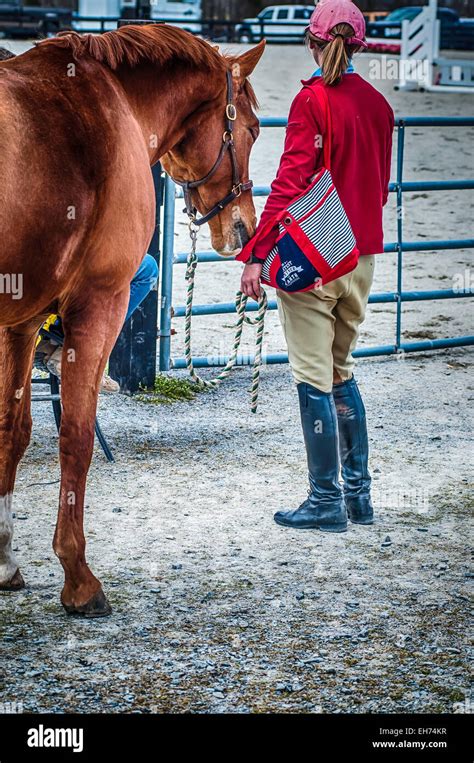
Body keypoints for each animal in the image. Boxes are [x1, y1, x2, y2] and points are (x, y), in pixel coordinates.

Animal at [0, 26, 262, 616]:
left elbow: (13, 430)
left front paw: (4, 559)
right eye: (254, 129)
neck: (112, 102)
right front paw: (78, 577)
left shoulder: (21, 322)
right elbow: (76, 438)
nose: (244, 227)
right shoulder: (100, 303)